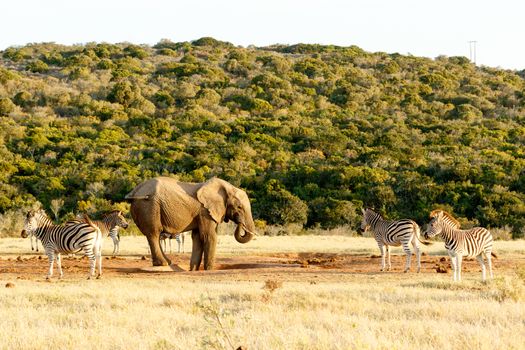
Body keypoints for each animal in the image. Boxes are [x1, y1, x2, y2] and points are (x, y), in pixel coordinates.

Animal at [125, 178, 256, 270]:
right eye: (239, 207)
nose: (240, 223)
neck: (226, 187)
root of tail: (134, 192)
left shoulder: (201, 214)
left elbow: (198, 238)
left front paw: (193, 269)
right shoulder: (205, 212)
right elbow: (209, 236)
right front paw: (209, 270)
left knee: (155, 236)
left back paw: (168, 262)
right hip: (149, 206)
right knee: (154, 233)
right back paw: (163, 263)